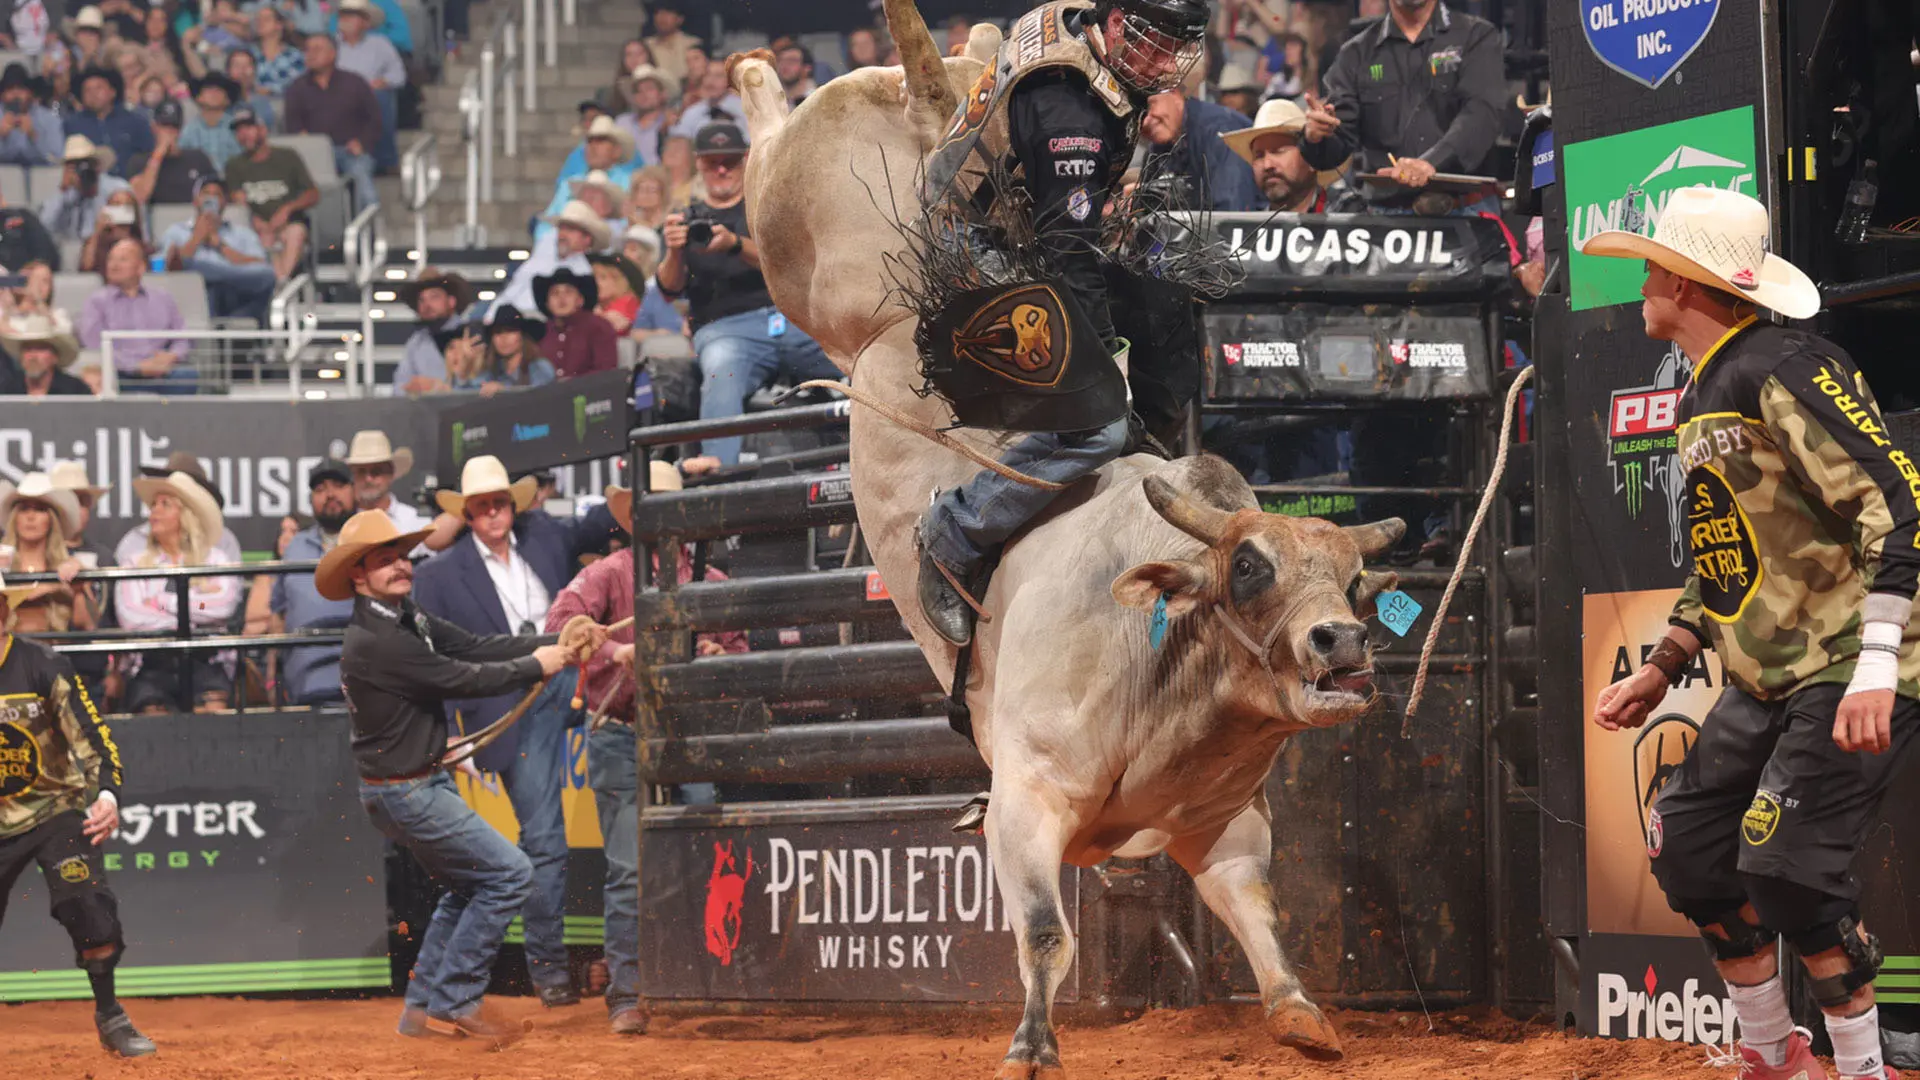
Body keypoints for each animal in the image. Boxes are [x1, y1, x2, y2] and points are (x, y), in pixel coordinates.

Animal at [726, 4, 1403, 1073]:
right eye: (1248, 569)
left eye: (1355, 580)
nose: (1341, 640)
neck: (1159, 655)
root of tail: (932, 114)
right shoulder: (1026, 801)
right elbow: (1046, 931)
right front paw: (1031, 1043)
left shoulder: (1224, 823)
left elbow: (1255, 906)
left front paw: (1301, 1014)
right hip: (795, 231)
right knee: (762, 148)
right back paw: (755, 66)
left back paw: (970, 37)